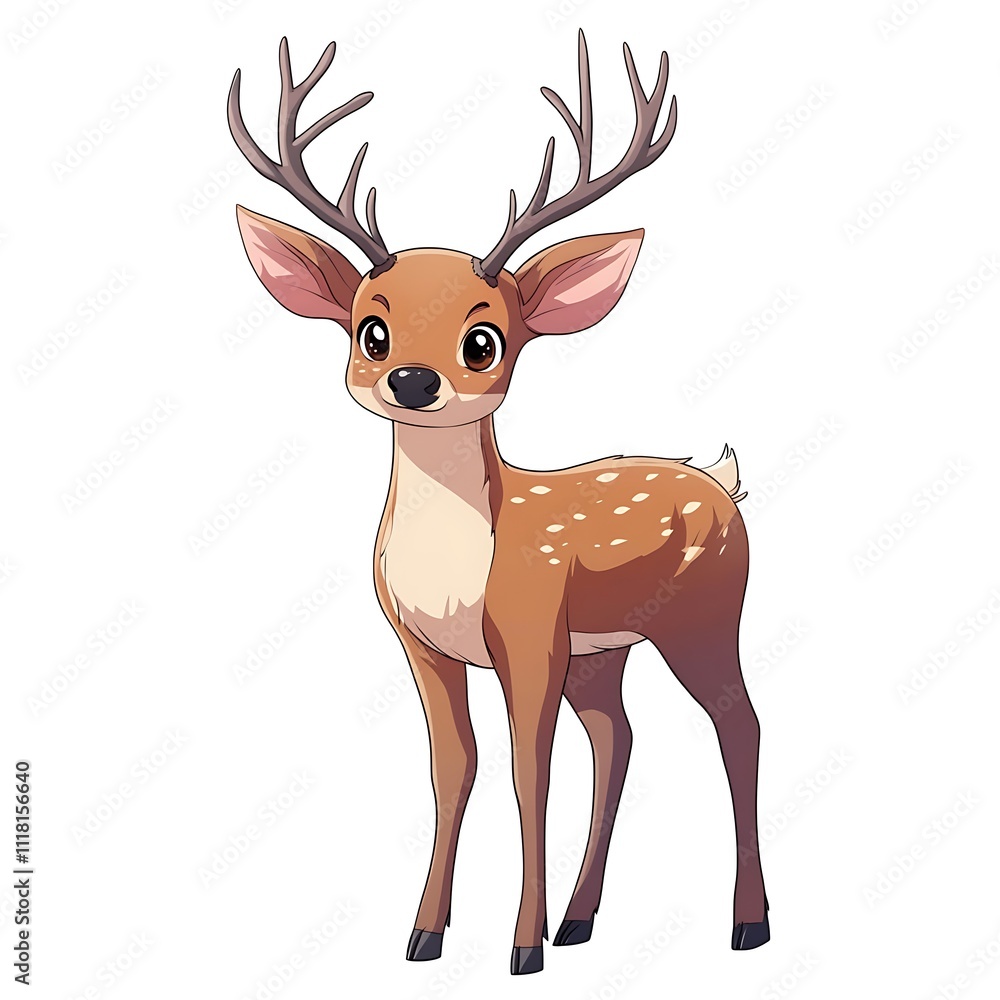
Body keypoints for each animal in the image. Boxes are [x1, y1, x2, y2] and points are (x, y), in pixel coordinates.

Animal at [228, 31, 769, 976]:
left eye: (485, 339)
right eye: (371, 329)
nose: (413, 379)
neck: (458, 569)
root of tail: (723, 478)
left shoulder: (529, 626)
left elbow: (528, 772)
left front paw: (521, 948)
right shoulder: (420, 642)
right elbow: (455, 770)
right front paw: (425, 934)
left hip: (706, 613)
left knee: (740, 726)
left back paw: (746, 924)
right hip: (605, 649)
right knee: (619, 737)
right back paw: (582, 920)